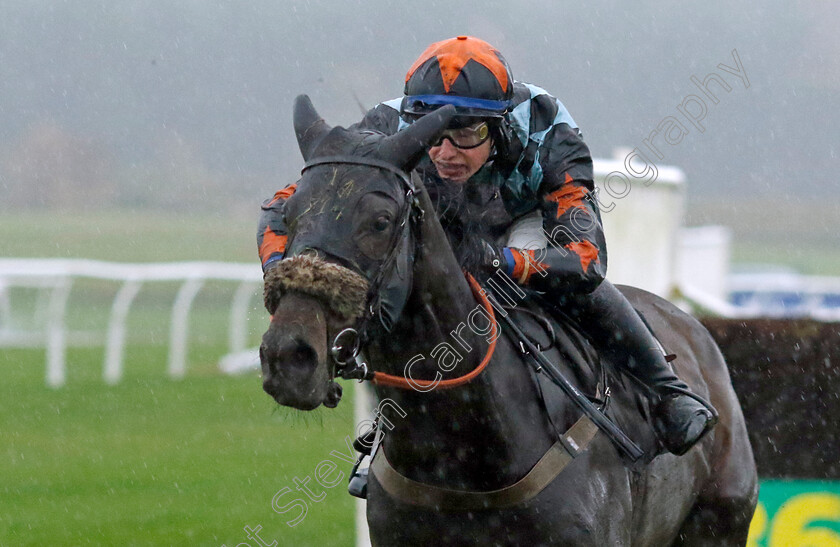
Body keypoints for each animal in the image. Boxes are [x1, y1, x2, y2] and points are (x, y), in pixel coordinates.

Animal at [260, 96, 756, 544]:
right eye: (289, 213)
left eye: (381, 221)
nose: (290, 357)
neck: (464, 460)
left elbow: (584, 251)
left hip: (722, 522)